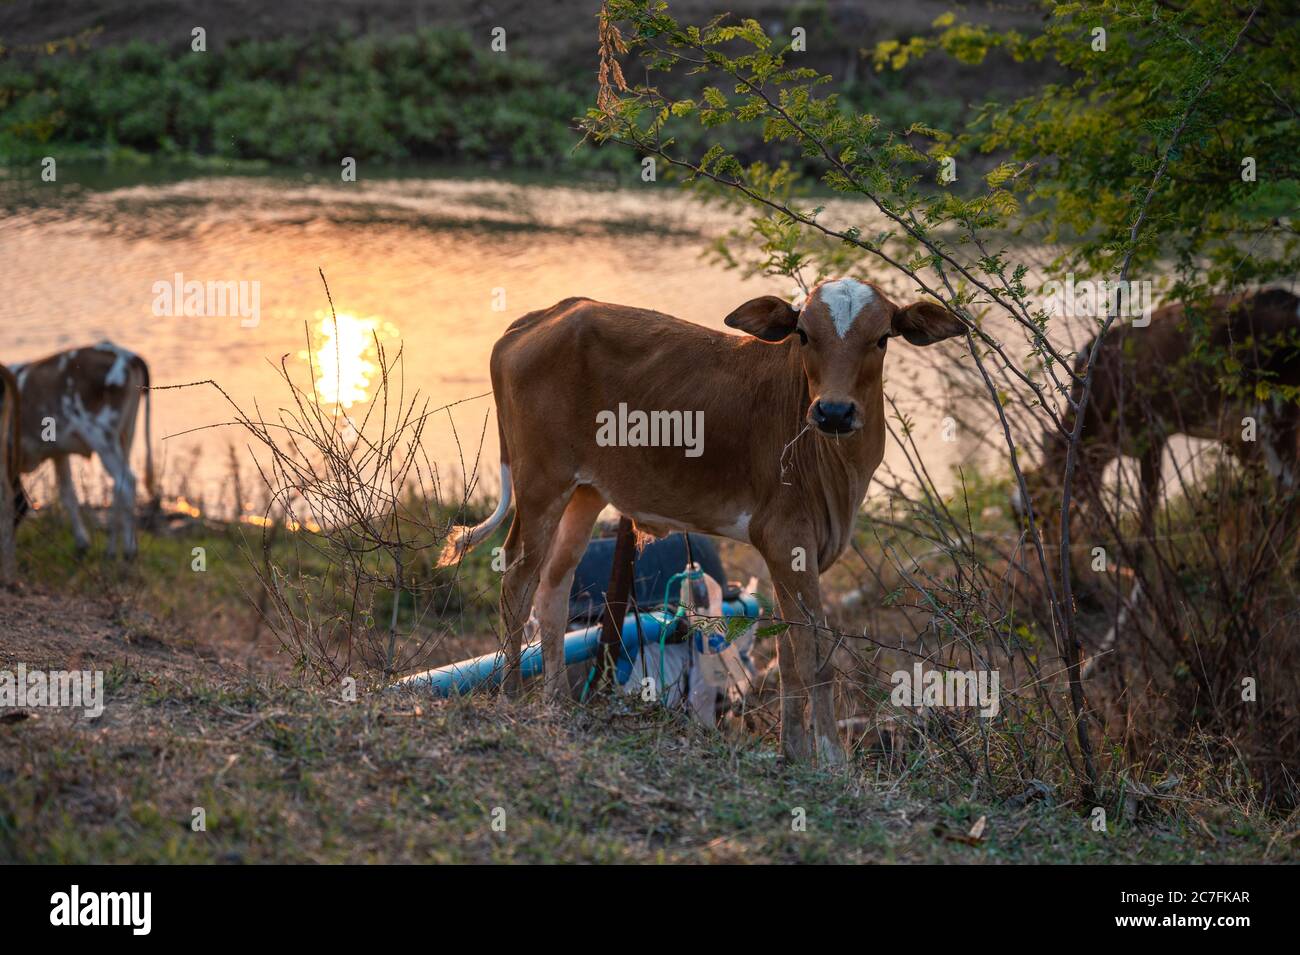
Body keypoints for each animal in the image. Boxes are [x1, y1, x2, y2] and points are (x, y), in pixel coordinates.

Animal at [8, 340, 154, 556]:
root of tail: (125, 353)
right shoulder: (58, 452)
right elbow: (68, 494)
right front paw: (82, 543)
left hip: (101, 436)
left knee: (126, 482)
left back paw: (128, 551)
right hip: (126, 434)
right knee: (119, 485)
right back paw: (112, 550)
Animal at [436, 280, 967, 764]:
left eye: (881, 338)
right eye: (804, 334)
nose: (834, 411)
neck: (837, 469)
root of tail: (541, 317)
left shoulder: (796, 552)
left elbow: (789, 655)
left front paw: (794, 754)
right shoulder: (785, 538)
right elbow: (814, 655)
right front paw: (833, 763)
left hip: (584, 493)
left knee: (552, 589)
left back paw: (557, 705)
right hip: (541, 483)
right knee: (516, 580)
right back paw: (511, 697)